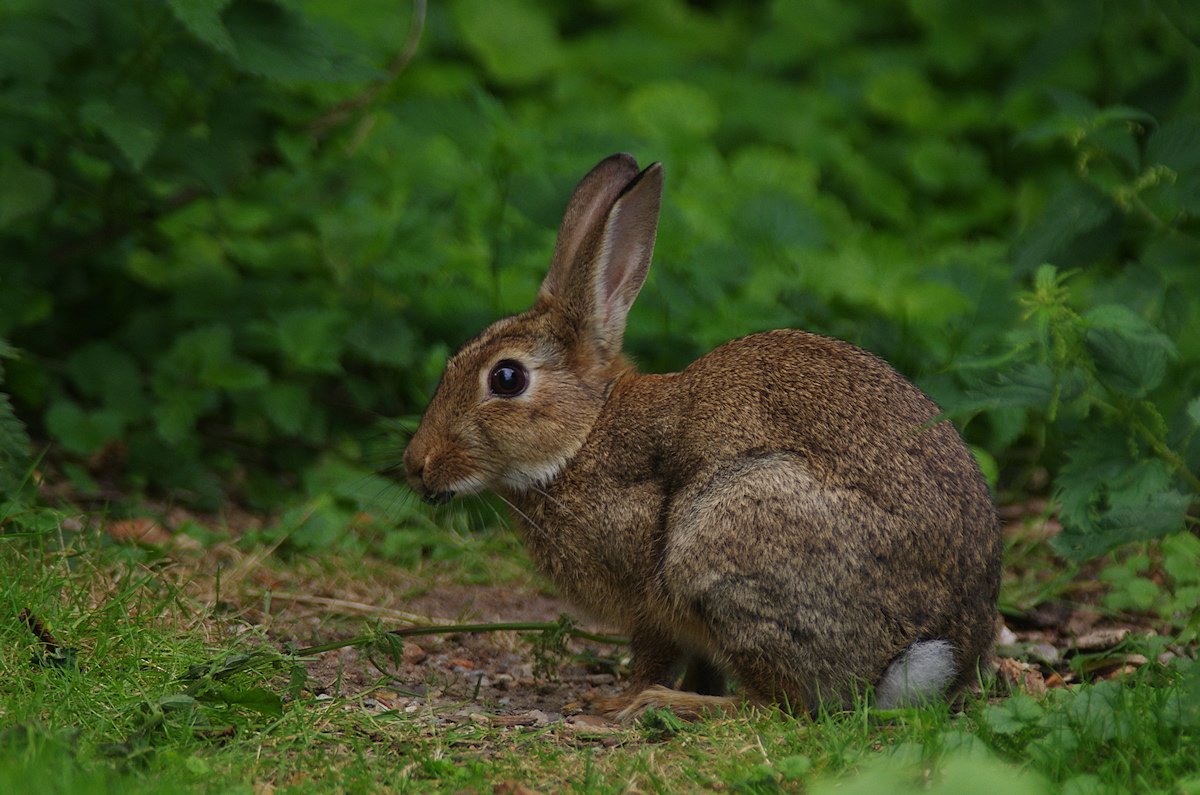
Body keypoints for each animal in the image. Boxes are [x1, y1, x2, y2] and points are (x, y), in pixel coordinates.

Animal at [403, 151, 1003, 720]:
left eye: (507, 378)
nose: (416, 465)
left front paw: (615, 703)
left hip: (728, 541)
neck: (583, 435)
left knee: (780, 706)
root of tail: (929, 658)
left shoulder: (648, 597)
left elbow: (653, 656)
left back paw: (667, 706)